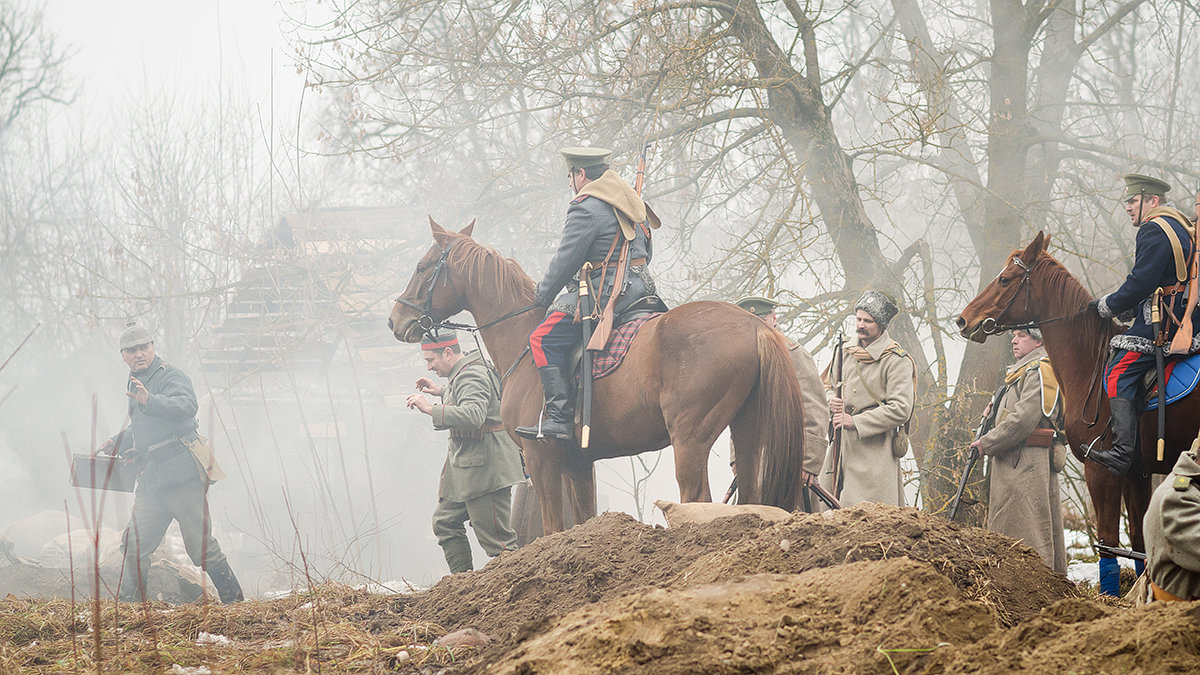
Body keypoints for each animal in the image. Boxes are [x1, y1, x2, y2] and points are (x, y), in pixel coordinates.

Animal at [388, 218, 811, 533]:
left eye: (422, 267)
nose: (396, 320)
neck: (523, 338)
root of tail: (752, 325)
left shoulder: (542, 459)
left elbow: (553, 528)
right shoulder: (578, 464)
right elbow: (582, 519)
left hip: (689, 440)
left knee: (699, 502)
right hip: (749, 434)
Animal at [955, 230, 1200, 571]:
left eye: (1004, 279)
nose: (963, 321)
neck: (1090, 364)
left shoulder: (1101, 471)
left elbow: (1108, 545)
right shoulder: (1136, 473)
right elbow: (1139, 543)